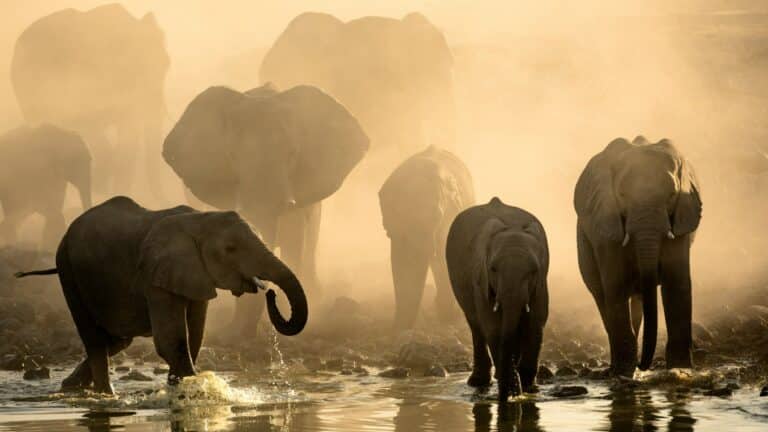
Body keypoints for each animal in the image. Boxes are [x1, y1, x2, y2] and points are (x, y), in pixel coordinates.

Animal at [14, 196, 307, 394]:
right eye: (231, 248)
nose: (270, 292)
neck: (200, 218)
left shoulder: (195, 274)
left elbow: (195, 334)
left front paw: (179, 386)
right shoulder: (156, 276)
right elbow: (171, 340)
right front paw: (190, 388)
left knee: (117, 340)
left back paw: (70, 388)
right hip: (68, 270)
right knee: (96, 341)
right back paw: (105, 396)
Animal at [379, 146, 474, 330]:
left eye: (436, 216)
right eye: (396, 216)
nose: (395, 328)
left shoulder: (450, 216)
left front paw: (449, 317)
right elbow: (401, 261)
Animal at [446, 197, 549, 400]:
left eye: (533, 271)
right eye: (493, 269)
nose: (514, 394)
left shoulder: (541, 284)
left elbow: (535, 324)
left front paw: (528, 390)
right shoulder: (481, 280)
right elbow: (493, 327)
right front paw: (512, 389)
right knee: (475, 324)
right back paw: (479, 382)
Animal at [574, 136, 702, 377]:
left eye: (672, 195)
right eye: (622, 195)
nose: (644, 365)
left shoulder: (680, 218)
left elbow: (677, 283)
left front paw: (680, 370)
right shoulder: (607, 222)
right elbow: (615, 284)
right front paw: (624, 374)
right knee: (601, 294)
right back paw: (617, 367)